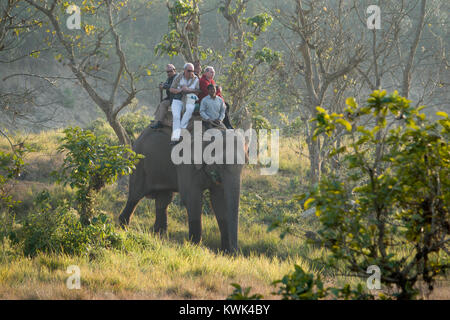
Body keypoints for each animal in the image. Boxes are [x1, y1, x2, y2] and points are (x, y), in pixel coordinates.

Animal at [118, 119, 246, 252]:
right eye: (220, 163)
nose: (235, 252)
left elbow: (219, 201)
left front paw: (224, 252)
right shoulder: (186, 162)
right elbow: (192, 197)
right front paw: (195, 247)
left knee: (164, 199)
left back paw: (159, 235)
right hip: (139, 160)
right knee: (135, 195)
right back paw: (123, 227)